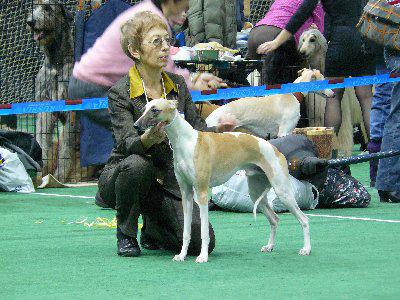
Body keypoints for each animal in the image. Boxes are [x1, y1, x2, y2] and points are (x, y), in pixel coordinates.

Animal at [135, 98, 312, 262]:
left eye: (155, 110)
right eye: (144, 109)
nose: (136, 126)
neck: (186, 142)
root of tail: (273, 147)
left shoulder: (202, 193)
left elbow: (204, 231)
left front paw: (203, 256)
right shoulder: (186, 194)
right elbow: (186, 231)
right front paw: (182, 255)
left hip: (282, 191)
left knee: (304, 219)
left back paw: (306, 249)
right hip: (257, 193)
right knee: (275, 219)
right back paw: (269, 246)